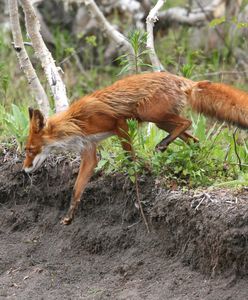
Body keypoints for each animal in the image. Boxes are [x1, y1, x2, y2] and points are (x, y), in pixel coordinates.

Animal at [22, 71, 248, 224]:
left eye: (30, 150)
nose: (24, 170)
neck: (76, 122)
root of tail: (184, 80)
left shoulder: (118, 123)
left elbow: (129, 154)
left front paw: (139, 171)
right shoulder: (89, 151)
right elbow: (77, 189)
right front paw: (69, 216)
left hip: (148, 113)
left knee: (187, 122)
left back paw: (162, 145)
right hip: (161, 121)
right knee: (193, 139)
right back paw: (188, 154)